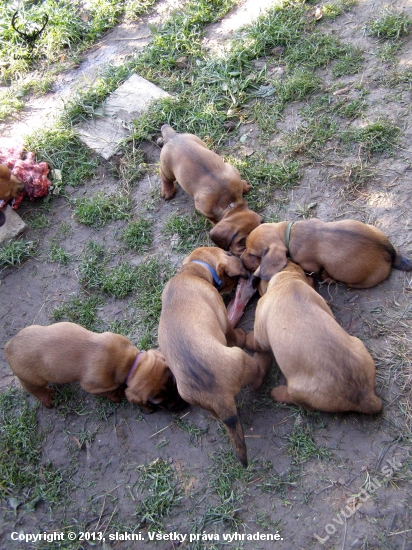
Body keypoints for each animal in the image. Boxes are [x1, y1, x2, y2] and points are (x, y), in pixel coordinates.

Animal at [4, 324, 185, 414]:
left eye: (174, 384)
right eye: (159, 402)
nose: (182, 405)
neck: (128, 363)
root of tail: (8, 347)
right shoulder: (94, 386)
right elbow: (111, 391)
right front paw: (117, 396)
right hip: (34, 380)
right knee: (37, 391)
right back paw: (48, 399)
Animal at [159, 124, 260, 254]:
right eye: (241, 242)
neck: (229, 202)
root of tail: (172, 136)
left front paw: (245, 186)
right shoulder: (203, 209)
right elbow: (213, 218)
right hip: (167, 170)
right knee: (165, 177)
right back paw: (167, 191)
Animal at [159, 248, 272, 468]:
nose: (234, 254)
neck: (191, 272)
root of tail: (217, 394)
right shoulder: (224, 321)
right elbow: (233, 333)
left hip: (197, 399)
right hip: (241, 359)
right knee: (256, 375)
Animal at [241, 219, 412, 292]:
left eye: (252, 254)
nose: (241, 259)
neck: (289, 233)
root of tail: (391, 253)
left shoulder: (310, 265)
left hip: (357, 281)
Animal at [245, 262, 384, 414]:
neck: (288, 280)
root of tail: (365, 397)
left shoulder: (261, 337)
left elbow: (254, 342)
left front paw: (246, 338)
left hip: (296, 390)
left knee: (300, 403)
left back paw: (277, 393)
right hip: (357, 342)